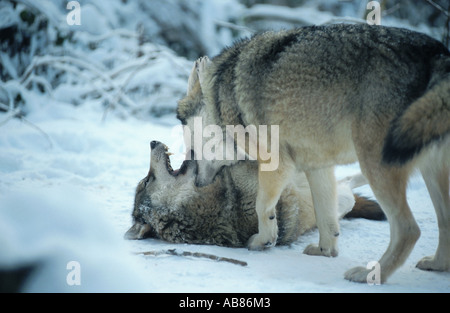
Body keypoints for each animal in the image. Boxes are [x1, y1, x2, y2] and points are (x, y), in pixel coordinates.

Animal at [176, 23, 450, 282]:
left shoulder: (277, 163)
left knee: (409, 229)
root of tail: (437, 53)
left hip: (377, 165)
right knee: (442, 222)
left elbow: (262, 205)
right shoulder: (318, 167)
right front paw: (325, 251)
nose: (197, 183)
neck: (222, 98)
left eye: (191, 151)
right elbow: (326, 217)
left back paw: (368, 275)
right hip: (425, 172)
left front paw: (264, 240)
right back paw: (435, 264)